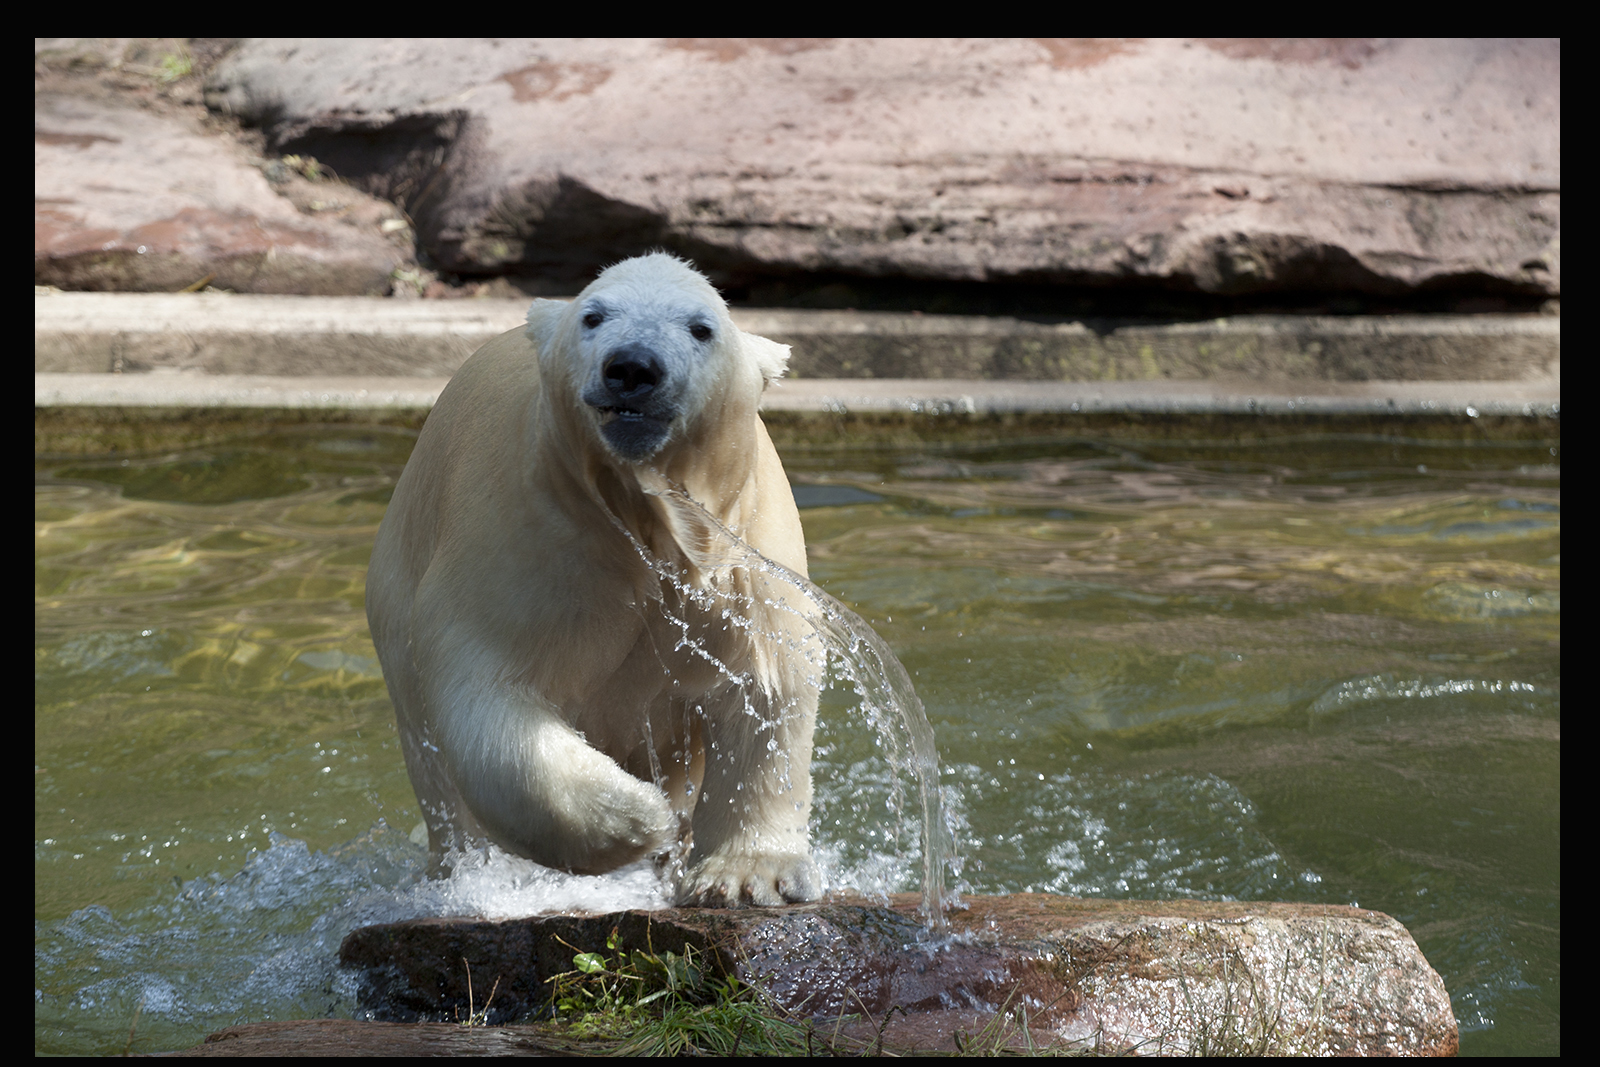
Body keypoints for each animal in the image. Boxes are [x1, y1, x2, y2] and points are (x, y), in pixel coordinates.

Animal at [366, 254, 819, 908]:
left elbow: (764, 689)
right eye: (594, 315)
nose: (632, 367)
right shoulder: (523, 537)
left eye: (701, 327)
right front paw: (636, 817)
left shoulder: (744, 557)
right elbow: (489, 693)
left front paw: (747, 879)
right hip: (396, 599)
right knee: (436, 768)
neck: (640, 519)